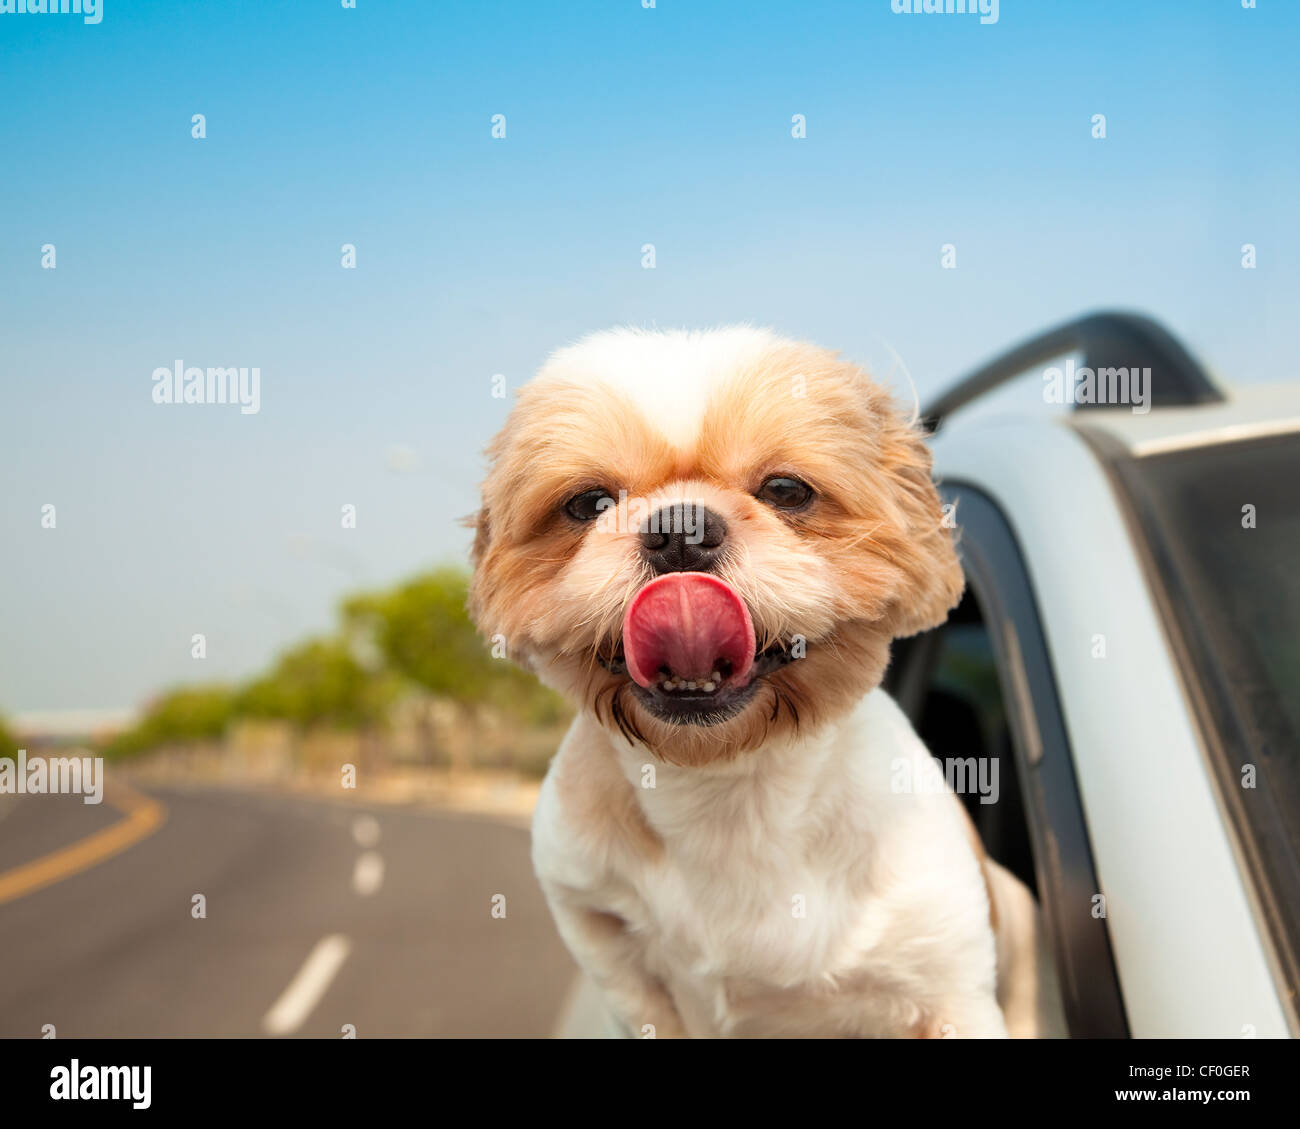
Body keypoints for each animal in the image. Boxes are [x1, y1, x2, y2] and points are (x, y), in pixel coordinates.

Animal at [467, 326, 1055, 1040]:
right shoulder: (610, 950)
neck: (729, 793)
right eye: (588, 504)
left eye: (786, 490)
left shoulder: (947, 982)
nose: (679, 528)